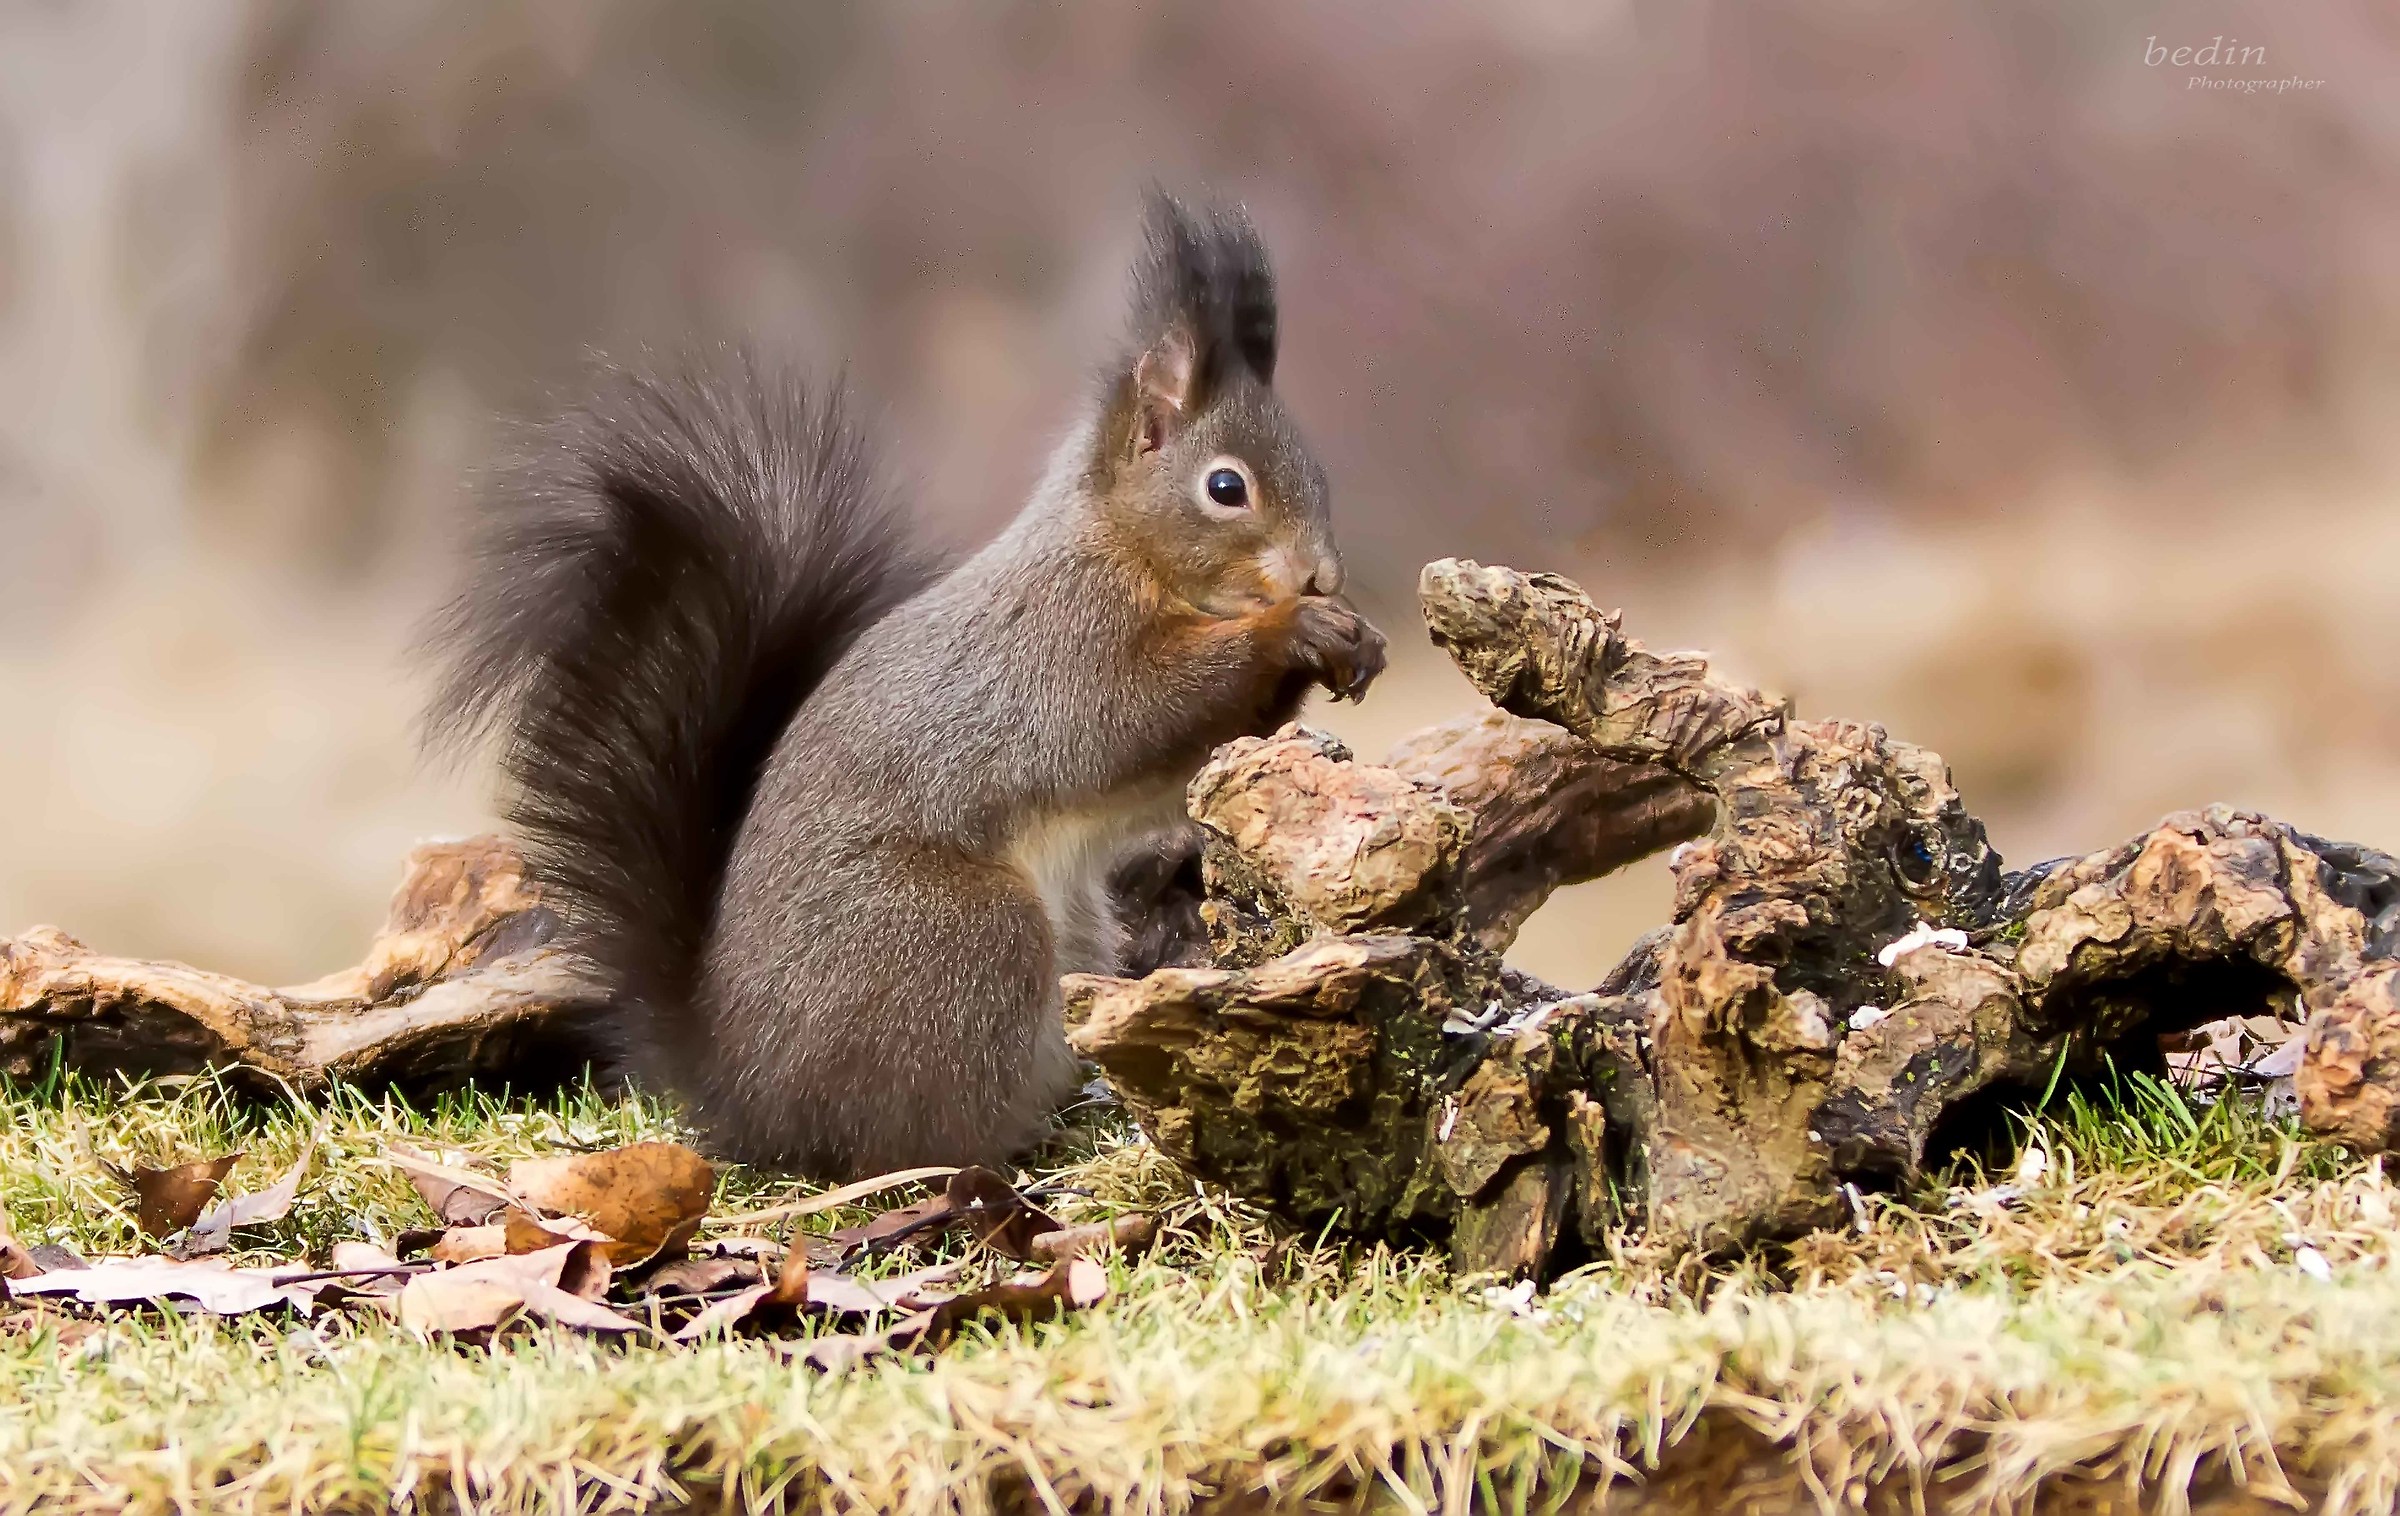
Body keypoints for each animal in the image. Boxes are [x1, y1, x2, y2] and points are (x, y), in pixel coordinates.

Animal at [423, 191, 1386, 1177]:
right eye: (1226, 487)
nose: (1322, 574)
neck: (1120, 547)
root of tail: (750, 1095)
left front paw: (1355, 641)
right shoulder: (1062, 646)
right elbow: (1132, 717)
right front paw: (1295, 631)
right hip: (966, 936)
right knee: (912, 1139)